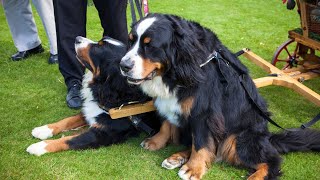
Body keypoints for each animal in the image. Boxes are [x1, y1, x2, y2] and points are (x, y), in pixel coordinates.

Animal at [26, 36, 162, 156]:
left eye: (97, 49)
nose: (77, 38)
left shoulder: (102, 133)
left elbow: (70, 139)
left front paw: (40, 146)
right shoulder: (93, 109)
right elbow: (68, 120)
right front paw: (44, 129)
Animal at [119, 13, 320, 180]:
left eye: (150, 45)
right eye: (131, 41)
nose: (123, 65)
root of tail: (268, 136)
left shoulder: (204, 112)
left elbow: (201, 143)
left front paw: (194, 168)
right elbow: (167, 125)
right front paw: (156, 141)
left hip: (239, 138)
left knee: (270, 161)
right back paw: (176, 158)